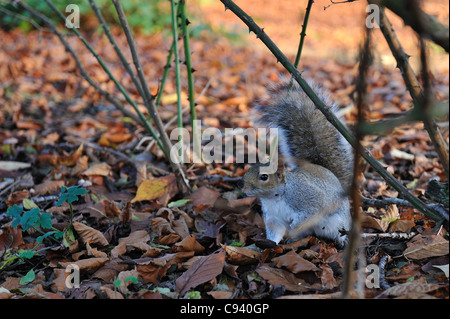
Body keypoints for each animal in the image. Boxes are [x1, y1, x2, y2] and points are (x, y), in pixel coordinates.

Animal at [241, 79, 354, 248]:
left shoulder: (308, 199)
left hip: (337, 223)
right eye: (247, 171)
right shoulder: (273, 218)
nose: (244, 189)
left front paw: (293, 226)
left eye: (264, 177)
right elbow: (275, 232)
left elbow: (311, 212)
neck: (275, 198)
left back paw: (342, 242)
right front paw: (270, 243)